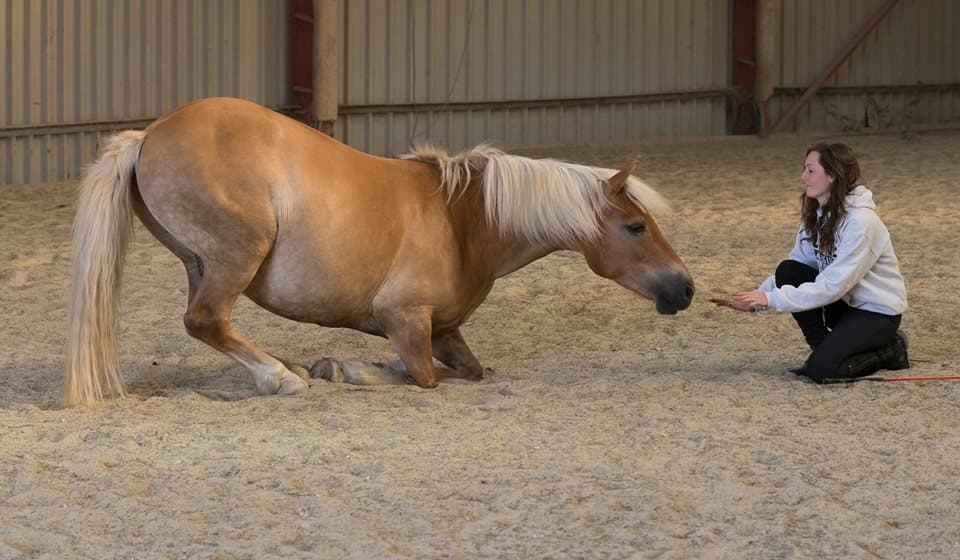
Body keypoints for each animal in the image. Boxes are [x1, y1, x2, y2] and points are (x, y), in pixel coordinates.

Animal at [65, 97, 694, 407]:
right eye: (636, 226)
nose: (685, 287)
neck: (463, 220)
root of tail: (148, 135)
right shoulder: (407, 320)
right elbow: (425, 379)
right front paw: (343, 369)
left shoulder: (445, 328)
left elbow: (471, 372)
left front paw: (335, 365)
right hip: (234, 256)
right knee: (205, 320)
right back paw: (283, 378)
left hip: (200, 262)